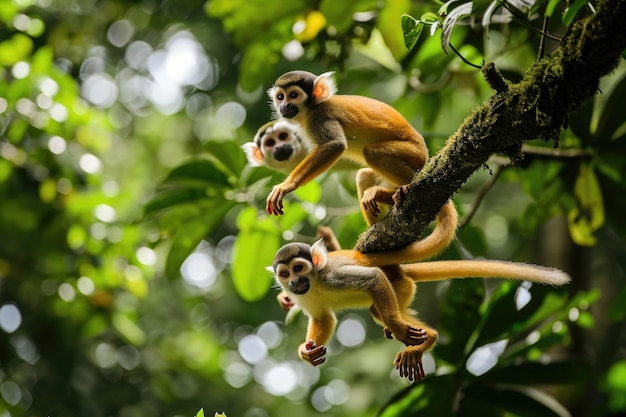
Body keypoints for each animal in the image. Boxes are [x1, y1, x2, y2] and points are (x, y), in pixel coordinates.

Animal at [270, 208, 568, 380]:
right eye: (285, 274)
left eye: (299, 268)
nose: (294, 282)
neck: (315, 282)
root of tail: (401, 271)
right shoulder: (304, 296)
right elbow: (324, 319)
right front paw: (307, 352)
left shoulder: (332, 277)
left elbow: (372, 279)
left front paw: (402, 329)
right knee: (376, 309)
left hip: (400, 286)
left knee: (380, 300)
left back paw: (422, 337)